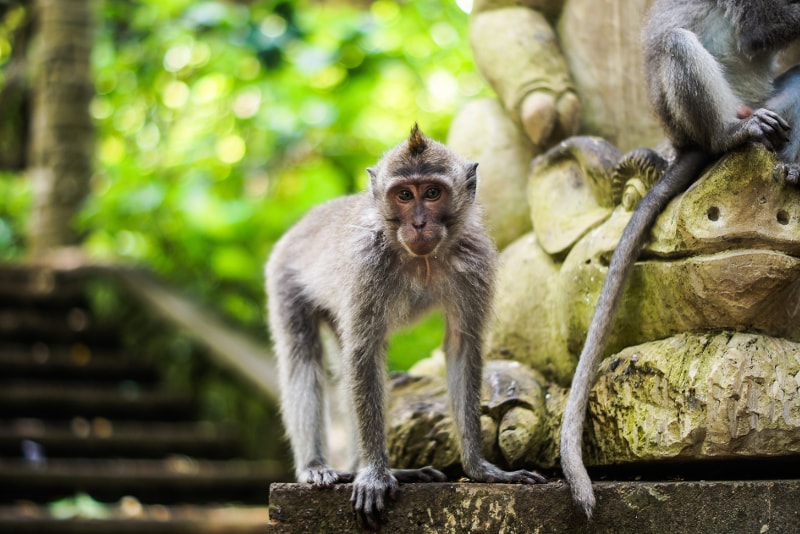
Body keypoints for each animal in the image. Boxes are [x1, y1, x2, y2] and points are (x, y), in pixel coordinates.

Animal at [266, 125, 548, 532]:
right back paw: (319, 467)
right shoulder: (367, 263)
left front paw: (480, 469)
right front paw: (374, 475)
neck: (421, 259)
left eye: (431, 193)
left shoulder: (476, 259)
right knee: (303, 358)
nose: (418, 223)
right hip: (284, 276)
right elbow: (364, 353)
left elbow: (462, 347)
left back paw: (379, 469)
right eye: (403, 195)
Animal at [560, 0, 800, 520]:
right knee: (676, 46)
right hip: (693, 117)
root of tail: (685, 141)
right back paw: (735, 133)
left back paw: (792, 164)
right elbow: (759, 31)